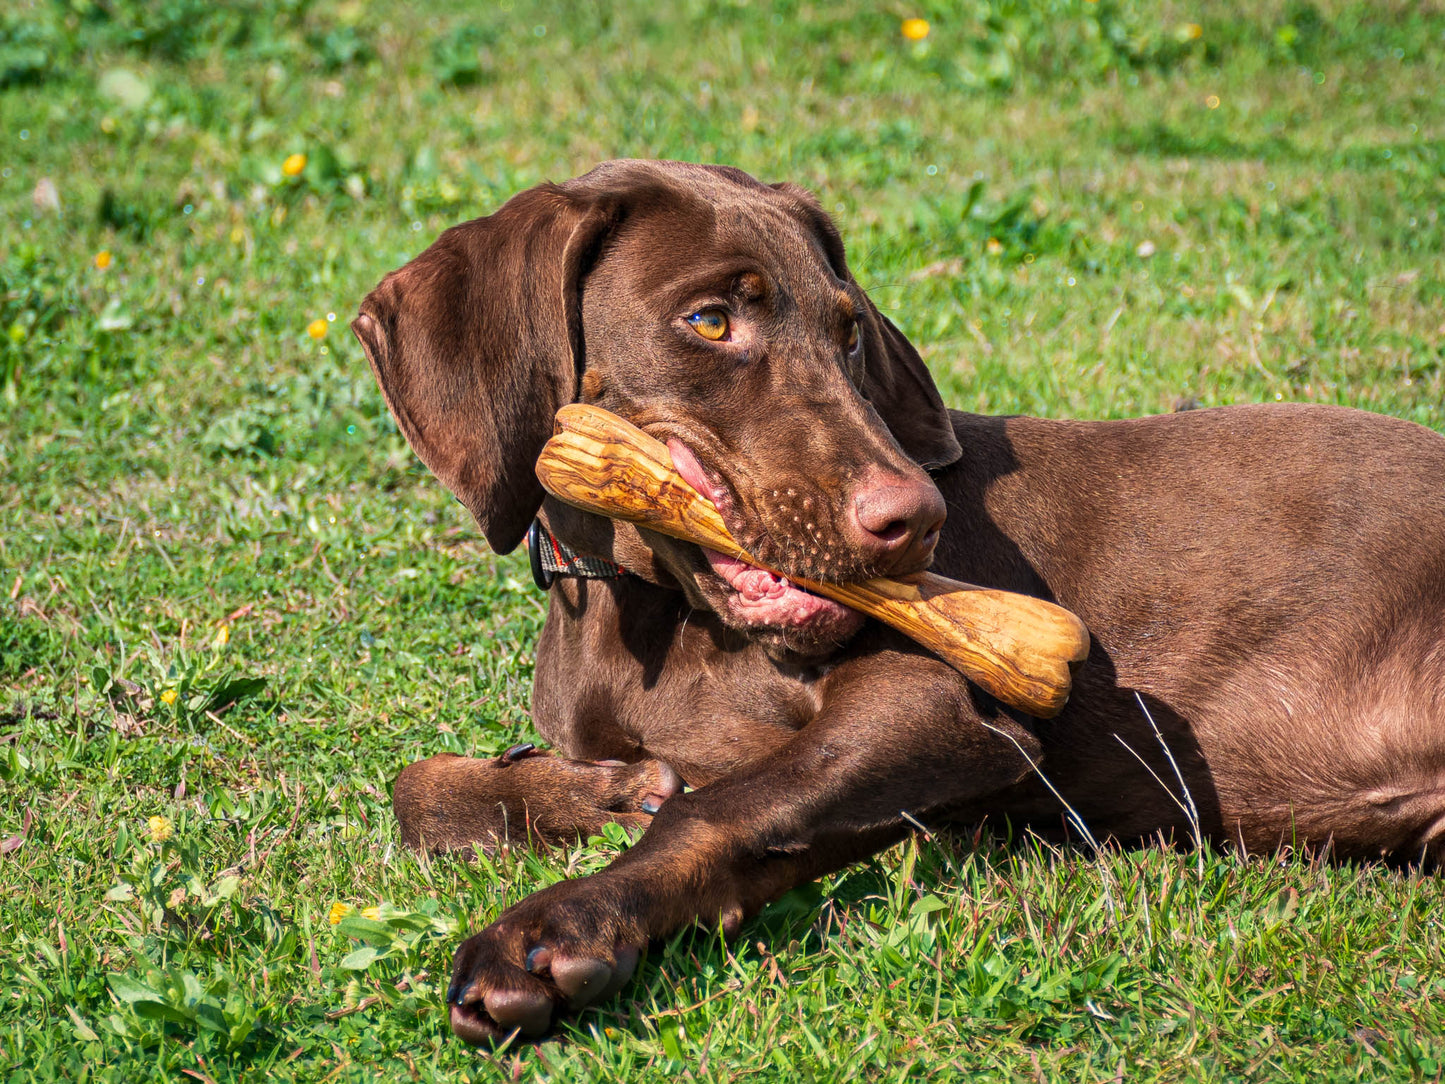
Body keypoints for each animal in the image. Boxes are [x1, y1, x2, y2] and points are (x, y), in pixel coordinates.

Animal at [349, 161, 1445, 1046]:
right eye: (710, 321)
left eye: (848, 335)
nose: (912, 519)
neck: (642, 610)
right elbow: (418, 787)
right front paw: (610, 791)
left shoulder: (942, 706)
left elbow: (723, 805)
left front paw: (556, 929)